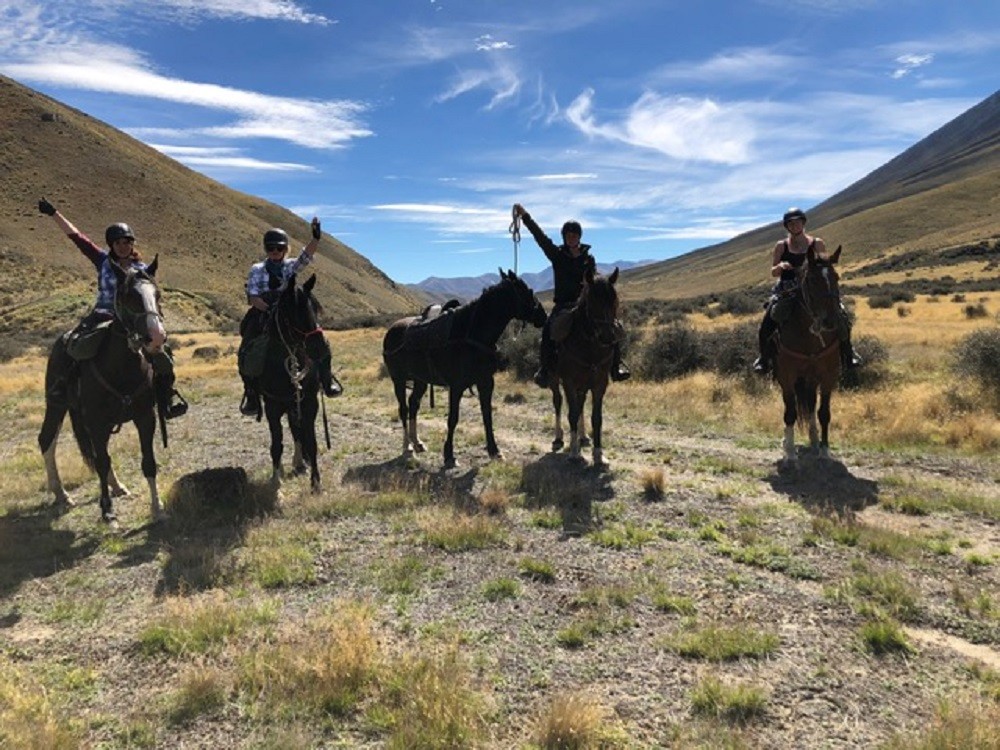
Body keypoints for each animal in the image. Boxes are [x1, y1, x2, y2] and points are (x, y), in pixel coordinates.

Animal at [37, 258, 168, 524]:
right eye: (129, 297)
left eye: (157, 294)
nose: (156, 337)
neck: (121, 368)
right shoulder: (96, 422)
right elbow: (101, 462)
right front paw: (107, 510)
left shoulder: (145, 418)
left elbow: (148, 461)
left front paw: (157, 507)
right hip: (56, 405)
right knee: (47, 440)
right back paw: (62, 494)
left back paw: (116, 486)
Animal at [250, 274, 336, 490]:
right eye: (294, 313)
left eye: (316, 308)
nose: (321, 348)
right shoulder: (272, 405)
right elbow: (276, 444)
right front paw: (275, 480)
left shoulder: (309, 403)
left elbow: (311, 442)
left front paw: (316, 482)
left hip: (294, 403)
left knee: (296, 431)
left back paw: (299, 462)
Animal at [380, 270, 544, 470]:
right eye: (528, 291)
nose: (543, 315)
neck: (472, 334)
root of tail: (391, 331)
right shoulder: (456, 386)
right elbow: (453, 419)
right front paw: (449, 455)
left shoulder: (486, 382)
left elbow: (487, 416)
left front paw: (494, 451)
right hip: (399, 379)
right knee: (403, 409)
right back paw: (408, 448)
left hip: (420, 380)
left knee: (413, 405)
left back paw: (417, 442)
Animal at [552, 264, 620, 464]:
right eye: (592, 302)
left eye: (615, 302)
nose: (608, 337)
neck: (590, 347)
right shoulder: (568, 381)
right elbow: (572, 414)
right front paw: (575, 452)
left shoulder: (600, 383)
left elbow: (596, 418)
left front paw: (599, 454)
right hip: (554, 380)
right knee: (558, 402)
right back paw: (559, 438)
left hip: (583, 384)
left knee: (580, 404)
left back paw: (583, 437)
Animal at [772, 245, 844, 464]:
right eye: (811, 280)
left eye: (836, 277)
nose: (830, 321)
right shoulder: (786, 376)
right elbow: (790, 413)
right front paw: (790, 453)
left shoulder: (828, 375)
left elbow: (824, 413)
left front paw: (825, 450)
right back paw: (788, 442)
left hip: (811, 378)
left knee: (811, 405)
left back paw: (813, 439)